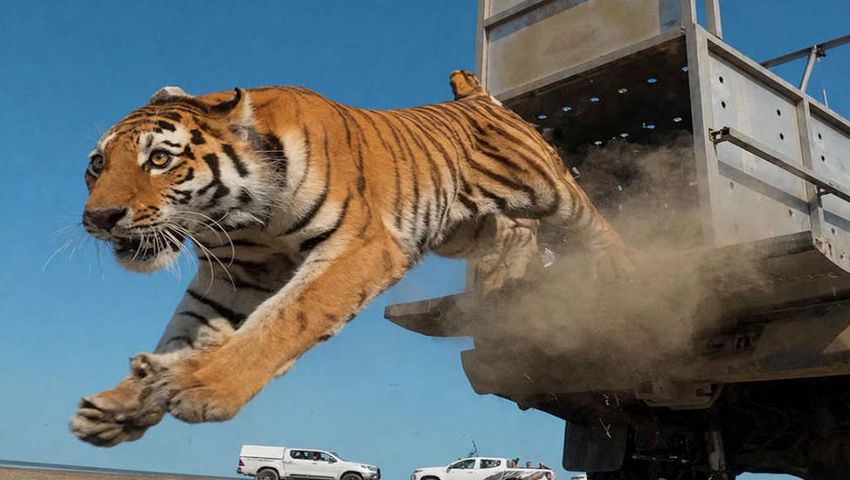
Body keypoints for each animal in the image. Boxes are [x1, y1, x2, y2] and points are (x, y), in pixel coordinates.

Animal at [69, 70, 632, 446]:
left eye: (159, 159)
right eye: (96, 165)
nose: (99, 218)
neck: (241, 217)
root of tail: (473, 95)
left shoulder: (362, 247)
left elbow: (287, 318)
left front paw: (200, 384)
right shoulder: (237, 274)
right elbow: (185, 330)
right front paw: (122, 404)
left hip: (545, 185)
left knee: (590, 221)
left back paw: (622, 271)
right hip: (460, 226)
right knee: (515, 234)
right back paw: (501, 290)